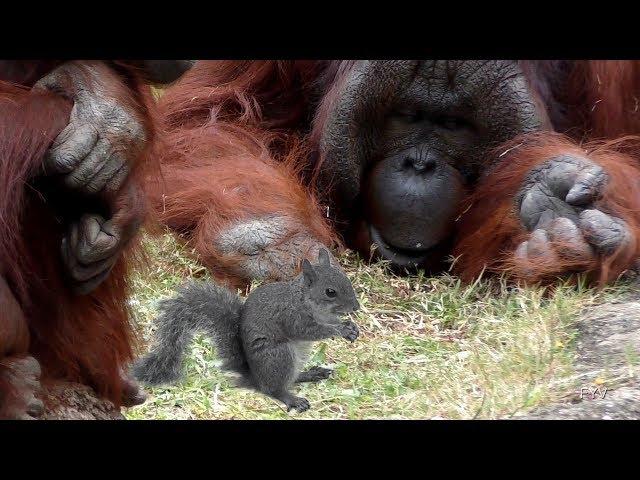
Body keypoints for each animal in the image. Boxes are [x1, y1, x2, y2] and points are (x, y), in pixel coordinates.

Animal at [130, 249, 360, 410]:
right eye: (330, 292)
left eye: (346, 279)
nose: (356, 307)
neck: (307, 300)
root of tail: (255, 378)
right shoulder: (291, 316)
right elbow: (309, 330)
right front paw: (341, 330)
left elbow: (329, 322)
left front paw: (351, 328)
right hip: (279, 355)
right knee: (273, 389)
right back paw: (291, 398)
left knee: (290, 379)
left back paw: (310, 374)